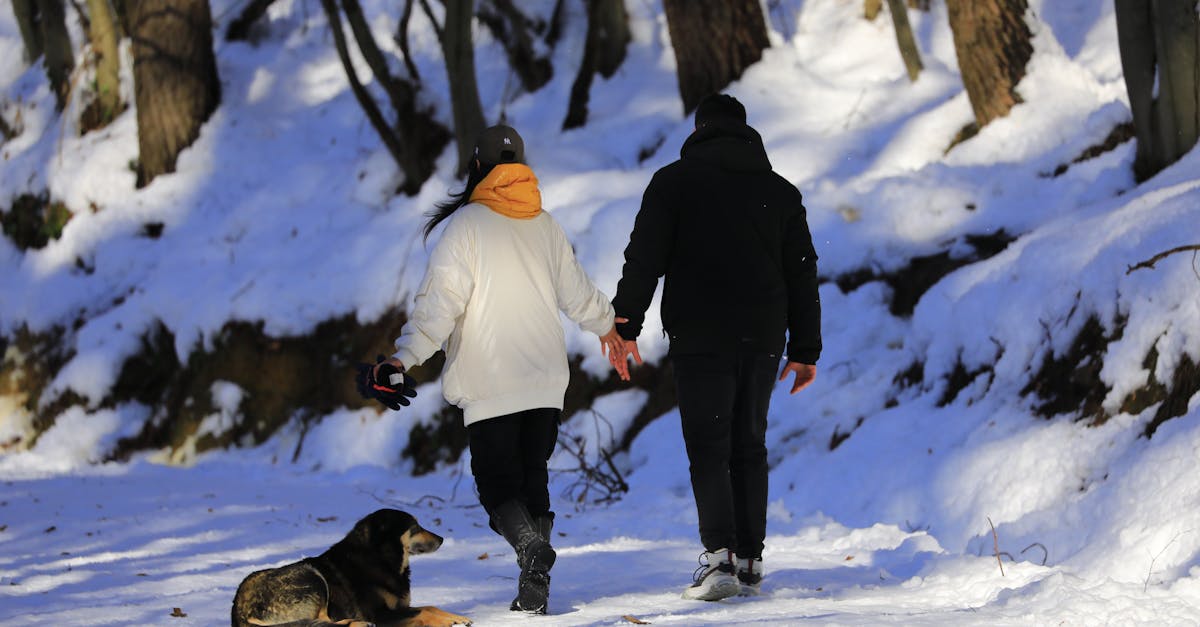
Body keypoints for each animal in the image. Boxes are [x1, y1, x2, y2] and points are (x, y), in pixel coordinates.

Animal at [234, 506, 472, 624]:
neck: (381, 557)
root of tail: (239, 613)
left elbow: (429, 607)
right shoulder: (379, 615)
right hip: (312, 577)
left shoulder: (398, 608)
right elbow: (422, 613)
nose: (441, 539)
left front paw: (456, 618)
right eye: (415, 527)